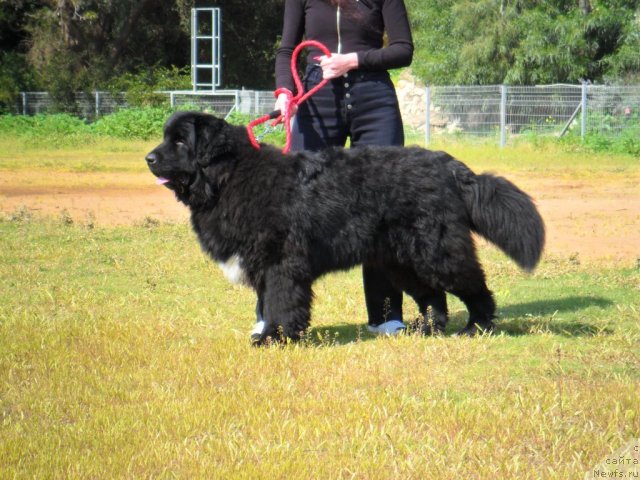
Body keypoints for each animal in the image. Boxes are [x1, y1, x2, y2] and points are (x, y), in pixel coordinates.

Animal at [146, 112, 544, 344]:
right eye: (166, 138)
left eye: (180, 141)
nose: (149, 158)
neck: (228, 177)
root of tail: (452, 167)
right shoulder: (261, 262)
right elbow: (266, 303)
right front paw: (268, 332)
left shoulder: (280, 264)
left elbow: (280, 302)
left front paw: (275, 337)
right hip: (402, 259)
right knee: (433, 296)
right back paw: (427, 329)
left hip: (437, 251)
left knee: (474, 288)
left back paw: (477, 326)